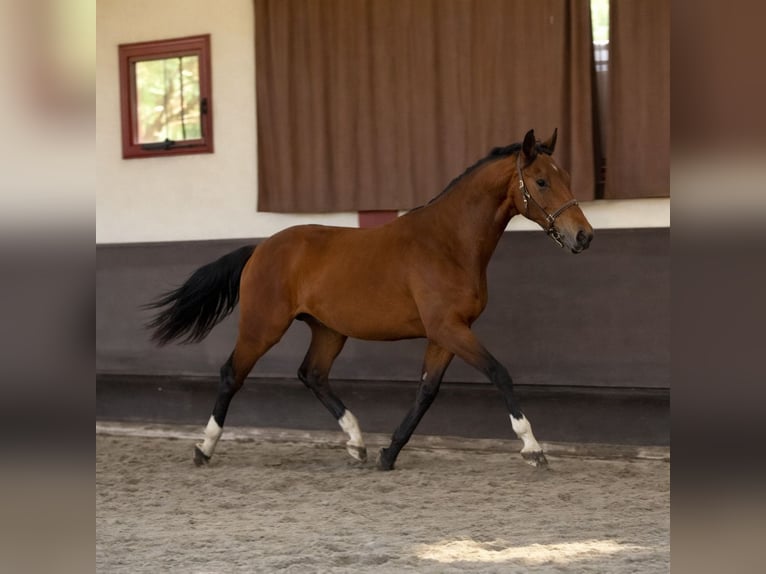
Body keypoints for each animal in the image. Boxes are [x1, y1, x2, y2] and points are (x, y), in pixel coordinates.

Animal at [146, 128, 594, 470]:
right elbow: (499, 373)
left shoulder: (444, 334)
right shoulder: (450, 328)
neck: (448, 242)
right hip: (263, 327)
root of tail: (260, 248)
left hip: (329, 331)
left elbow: (426, 392)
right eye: (541, 182)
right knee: (231, 375)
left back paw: (356, 443)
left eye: (567, 176)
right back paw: (204, 449)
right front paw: (533, 448)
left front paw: (388, 453)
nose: (583, 236)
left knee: (313, 374)